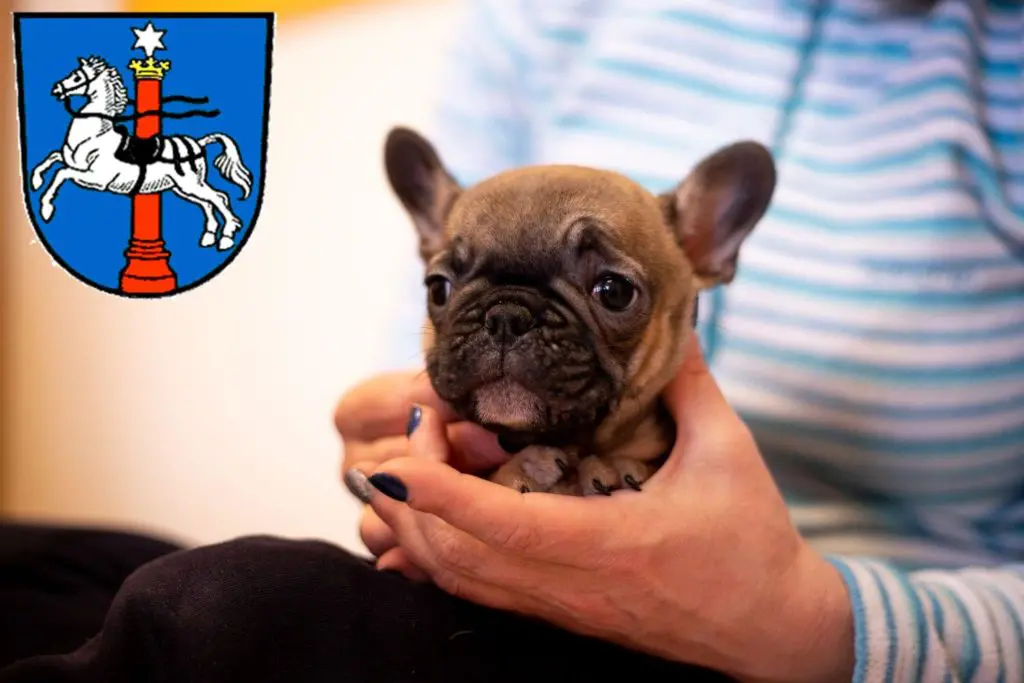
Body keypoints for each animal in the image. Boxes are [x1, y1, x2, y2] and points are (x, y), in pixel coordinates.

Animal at [29, 56, 253, 252]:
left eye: (77, 77)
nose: (56, 88)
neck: (94, 136)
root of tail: (198, 143)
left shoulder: (97, 179)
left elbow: (61, 173)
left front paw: (46, 209)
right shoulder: (73, 163)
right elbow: (53, 158)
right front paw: (36, 182)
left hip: (190, 185)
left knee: (219, 198)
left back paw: (226, 238)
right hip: (182, 188)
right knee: (208, 203)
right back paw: (208, 237)